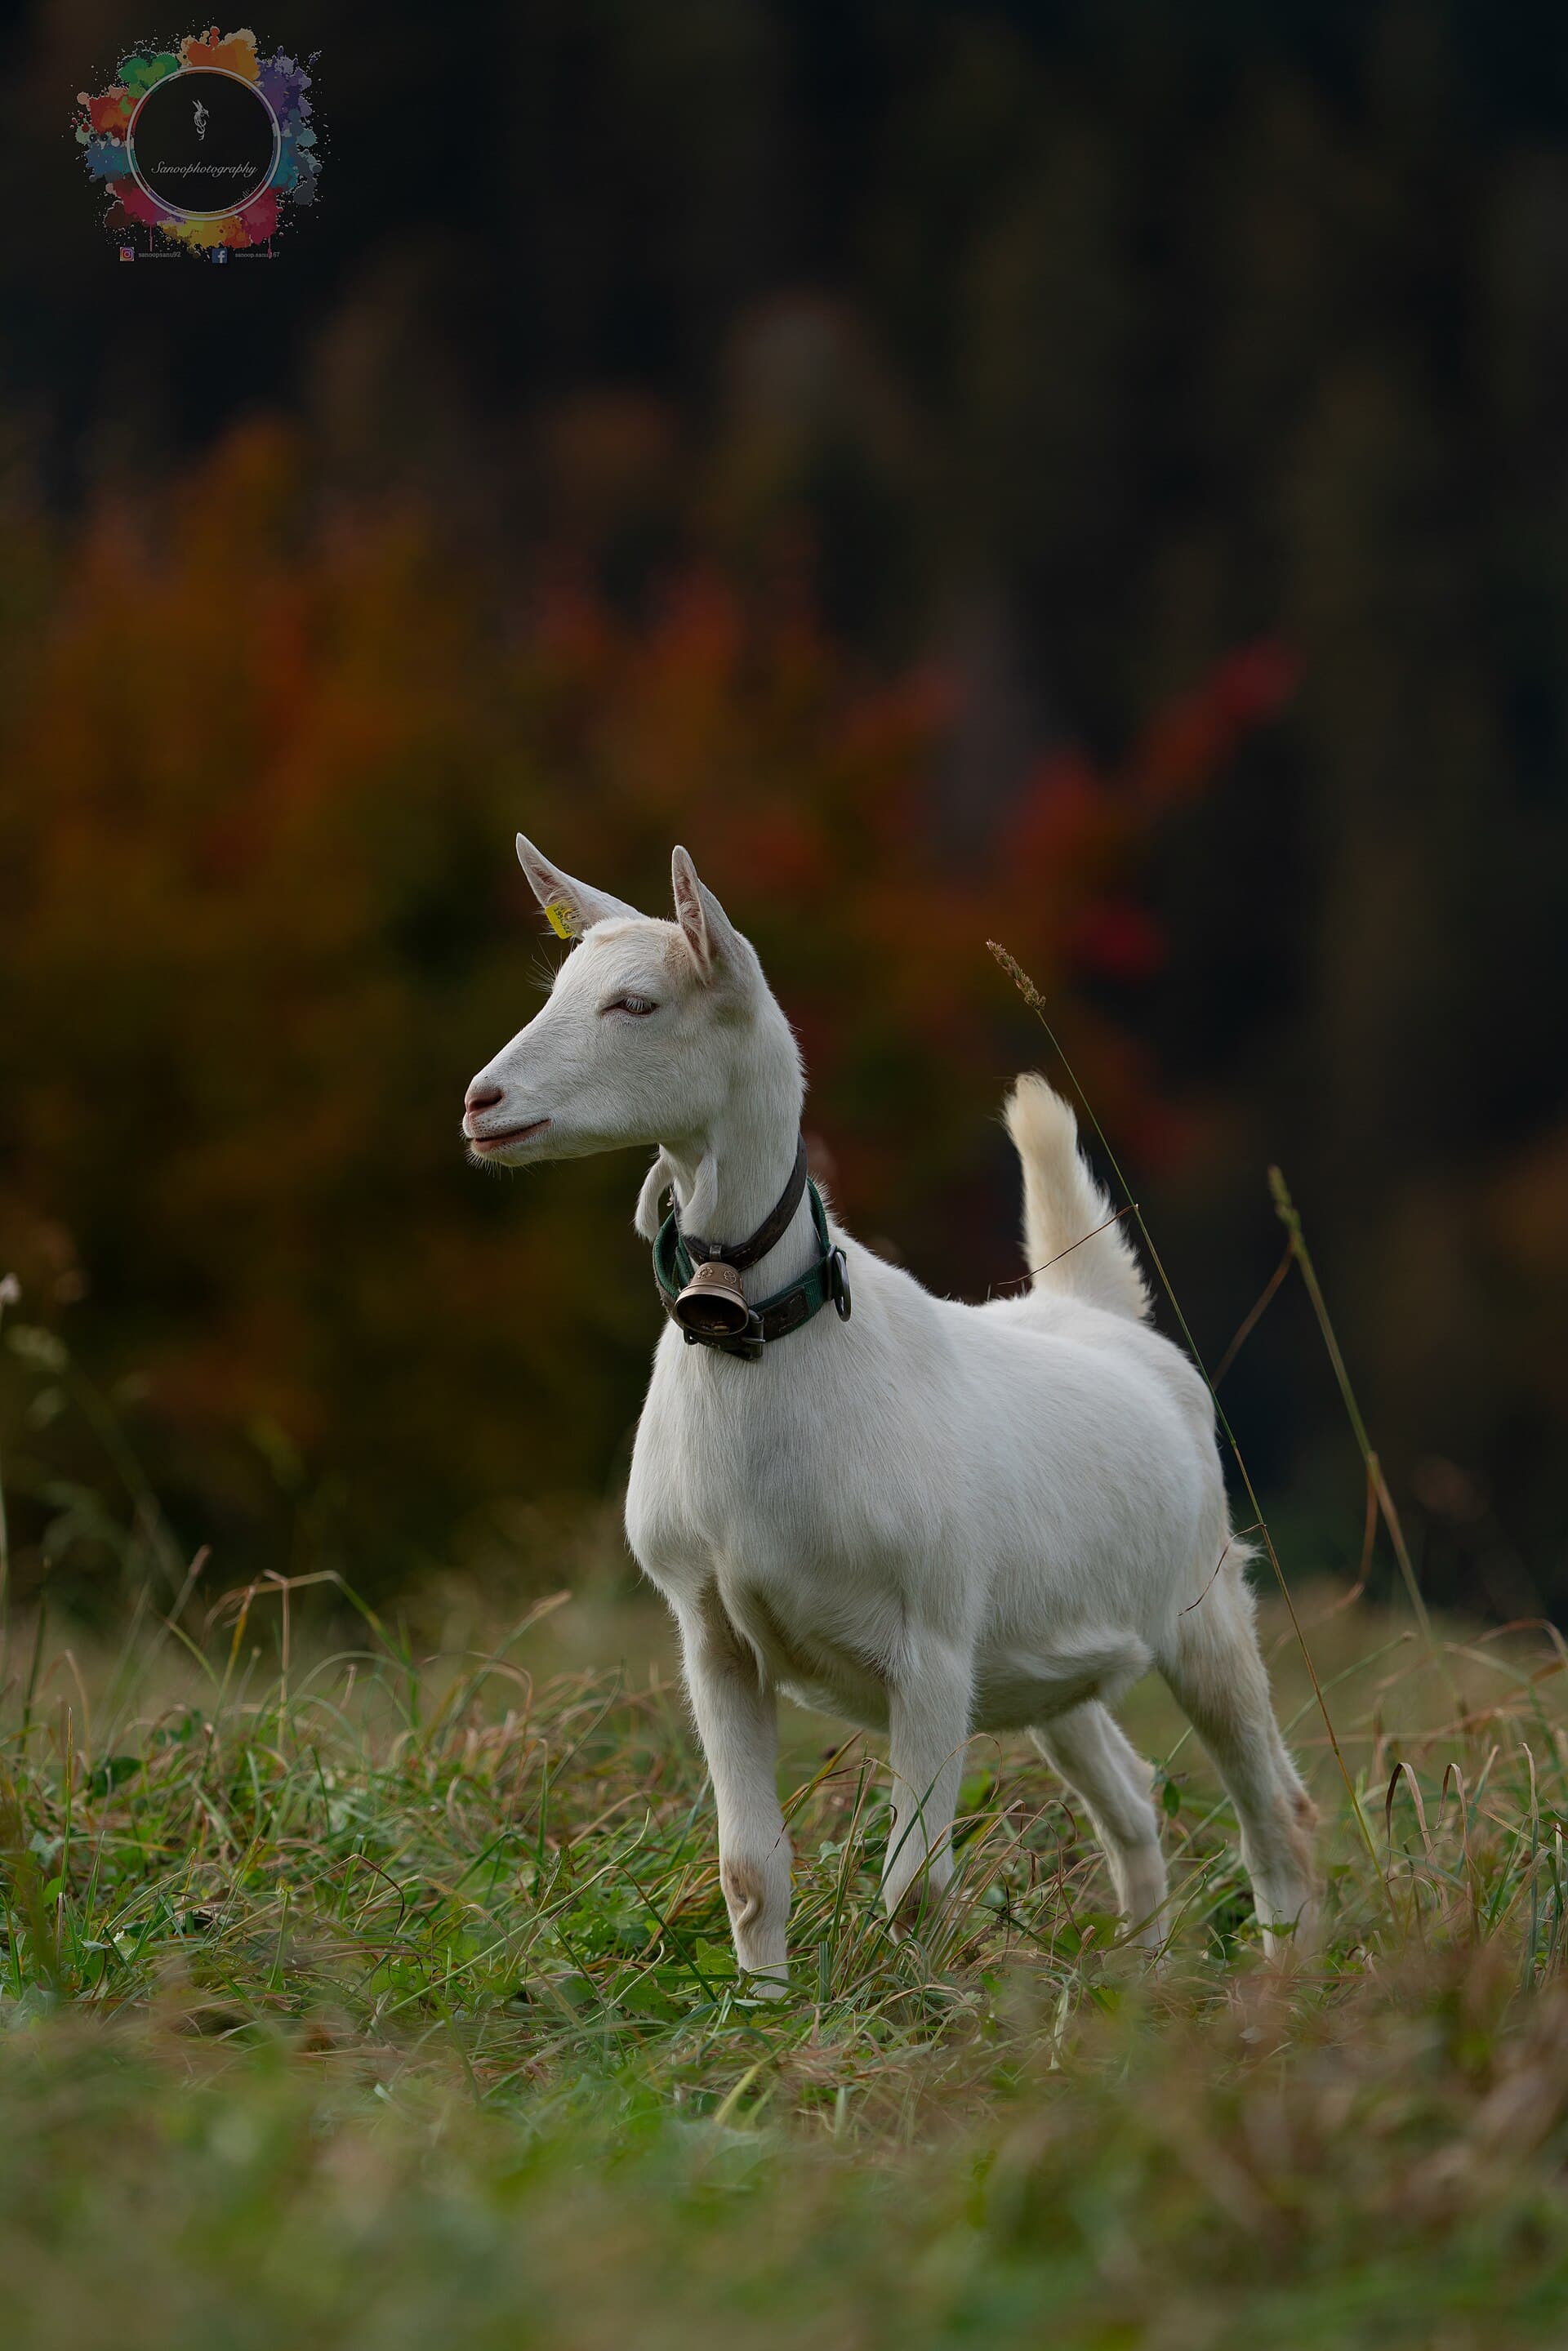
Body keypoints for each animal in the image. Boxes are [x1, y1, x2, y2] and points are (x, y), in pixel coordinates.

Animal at [464, 837, 1318, 1989]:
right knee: (1135, 1801)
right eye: (556, 987)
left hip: (1205, 1603)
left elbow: (918, 1887)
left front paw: (910, 2013)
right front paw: (762, 2013)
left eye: (636, 1002)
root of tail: (1097, 1311)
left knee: (1276, 1808)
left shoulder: (932, 1641)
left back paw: (1285, 1980)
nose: (483, 1100)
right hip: (1042, 1664)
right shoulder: (712, 1632)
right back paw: (1140, 1972)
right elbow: (749, 1867)